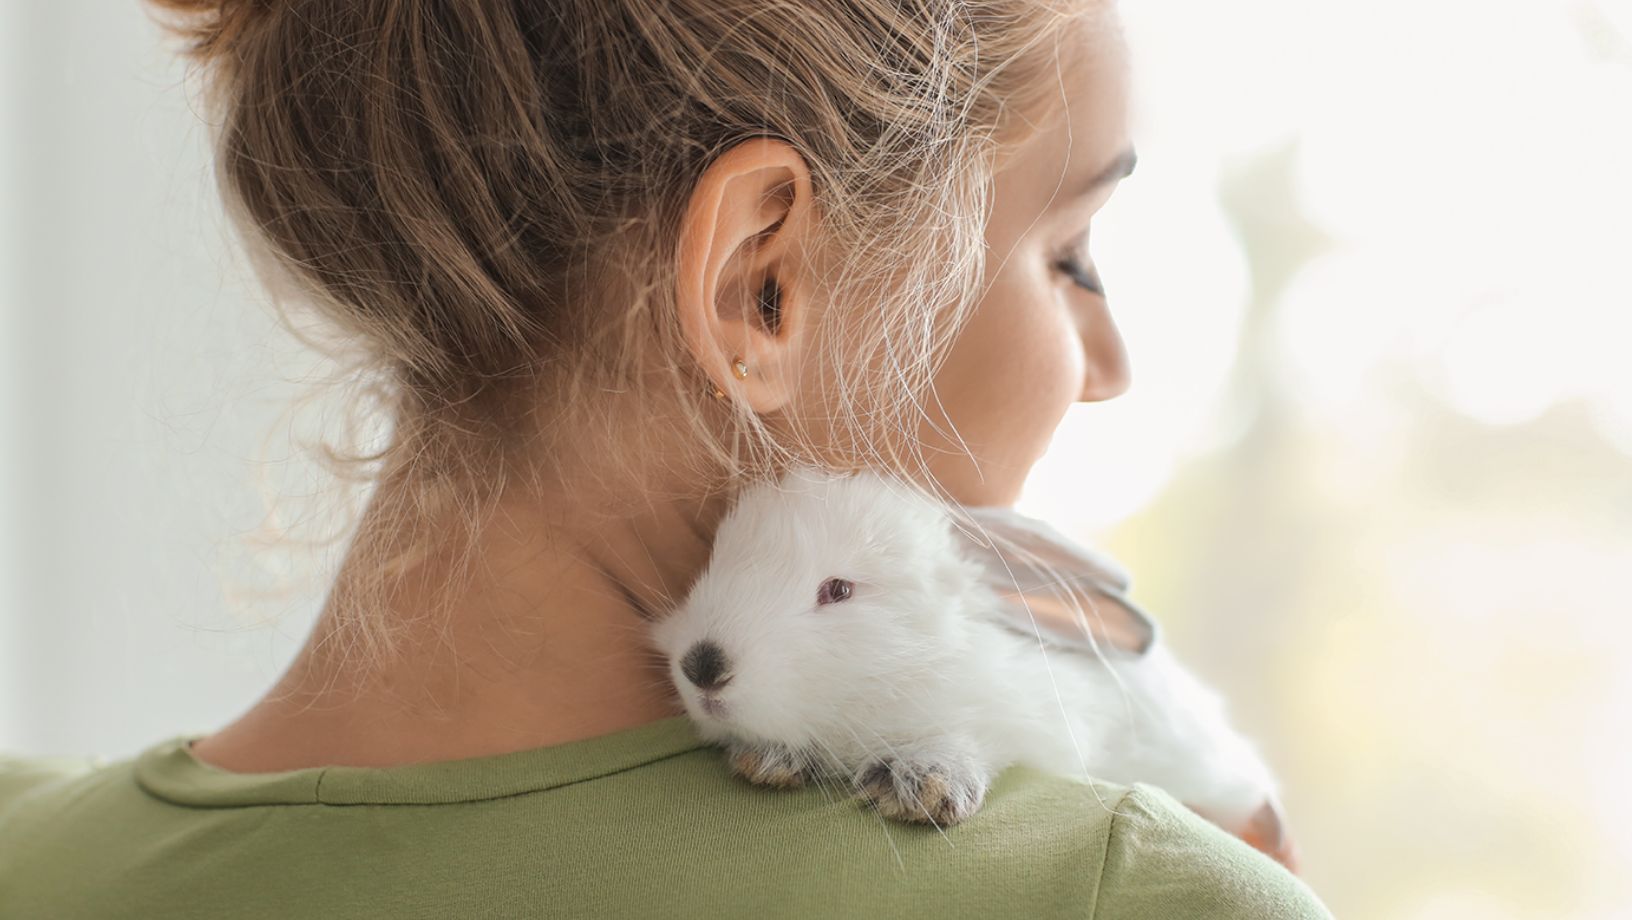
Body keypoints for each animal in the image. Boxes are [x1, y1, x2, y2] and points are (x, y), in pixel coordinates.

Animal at [650, 465, 1298, 871]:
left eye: (838, 590)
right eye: (713, 564)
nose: (702, 666)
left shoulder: (1032, 716)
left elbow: (973, 741)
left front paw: (919, 786)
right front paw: (769, 759)